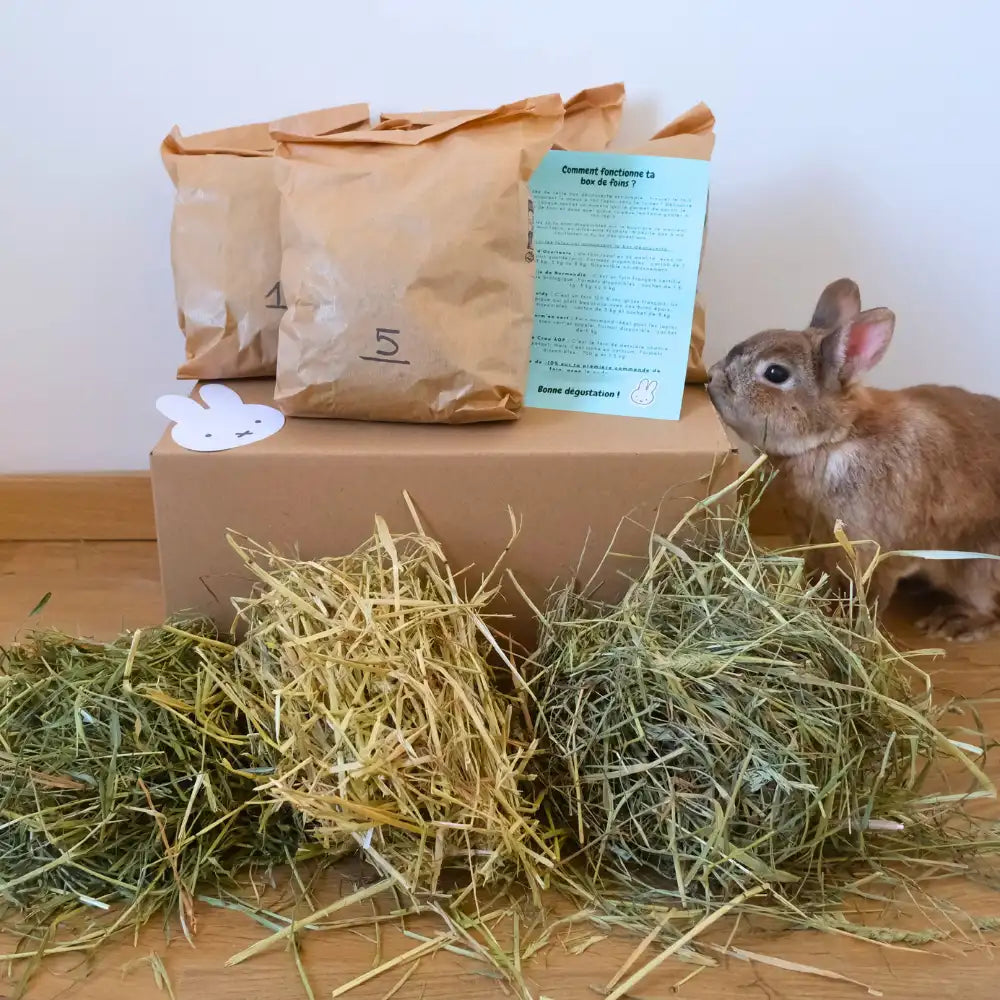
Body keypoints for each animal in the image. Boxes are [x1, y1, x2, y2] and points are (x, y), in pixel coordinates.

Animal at [706, 277, 1000, 642]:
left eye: (775, 373)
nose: (712, 375)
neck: (834, 438)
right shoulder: (814, 541)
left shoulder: (875, 552)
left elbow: (870, 594)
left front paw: (852, 629)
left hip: (975, 567)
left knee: (988, 609)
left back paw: (953, 623)